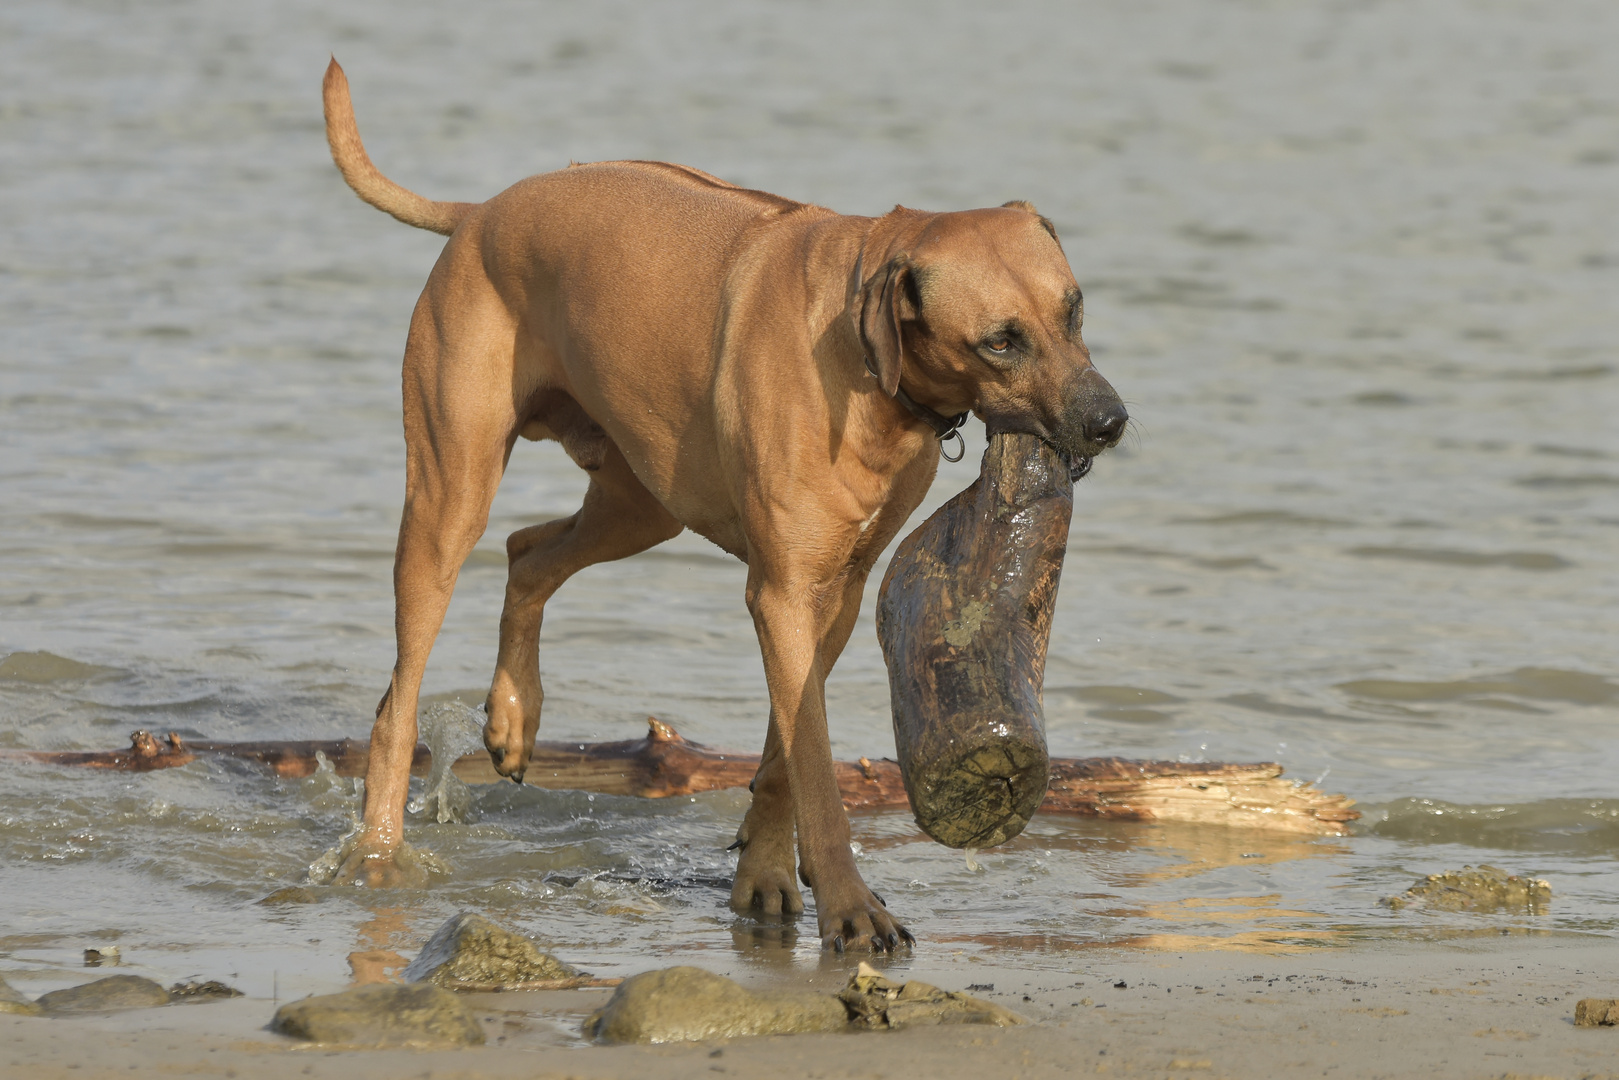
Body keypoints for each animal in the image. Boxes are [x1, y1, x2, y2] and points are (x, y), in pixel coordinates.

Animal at [318, 61, 1126, 952]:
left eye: (1073, 309)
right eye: (1000, 341)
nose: (1110, 421)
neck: (862, 354)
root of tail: (481, 212)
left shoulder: (832, 591)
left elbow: (783, 756)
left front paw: (766, 878)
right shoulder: (781, 592)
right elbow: (815, 767)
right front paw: (852, 908)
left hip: (641, 500)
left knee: (527, 552)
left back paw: (512, 717)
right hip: (448, 493)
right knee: (399, 696)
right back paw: (379, 853)